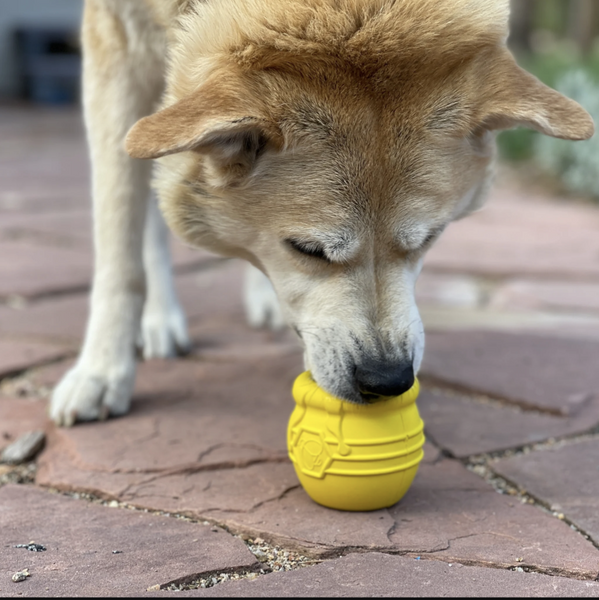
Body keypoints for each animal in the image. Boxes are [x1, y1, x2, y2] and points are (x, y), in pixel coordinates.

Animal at [49, 0, 592, 424]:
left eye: (428, 239)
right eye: (306, 249)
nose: (387, 379)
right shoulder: (114, 43)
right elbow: (120, 250)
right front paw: (102, 370)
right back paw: (161, 320)